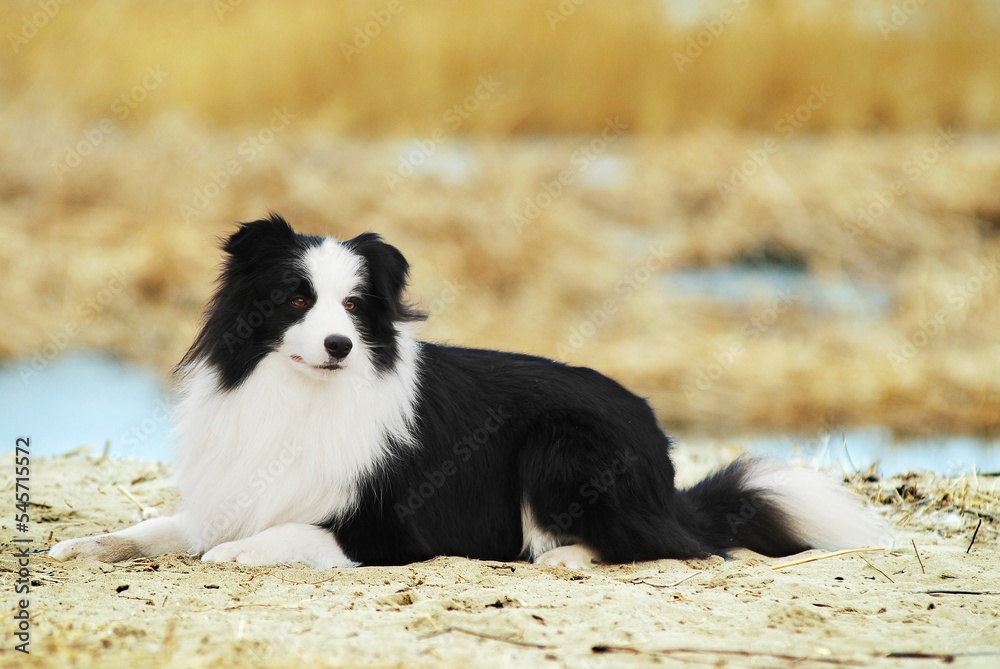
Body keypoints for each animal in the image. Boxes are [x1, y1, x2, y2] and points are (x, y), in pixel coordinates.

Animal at [50, 215, 888, 568]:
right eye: (294, 299)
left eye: (354, 306)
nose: (338, 345)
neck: (300, 395)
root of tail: (661, 451)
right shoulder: (227, 491)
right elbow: (163, 526)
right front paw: (85, 542)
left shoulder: (384, 530)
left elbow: (277, 534)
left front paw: (233, 553)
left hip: (561, 442)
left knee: (670, 545)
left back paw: (564, 557)